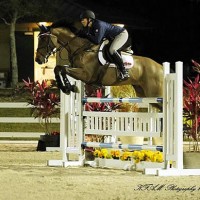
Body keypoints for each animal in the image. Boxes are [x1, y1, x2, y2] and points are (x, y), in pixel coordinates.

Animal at [35, 20, 164, 98]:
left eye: (43, 39)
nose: (38, 60)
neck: (81, 48)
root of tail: (161, 68)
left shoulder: (86, 74)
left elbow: (62, 69)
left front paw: (68, 87)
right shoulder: (75, 68)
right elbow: (58, 68)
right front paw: (66, 87)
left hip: (155, 93)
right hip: (143, 92)